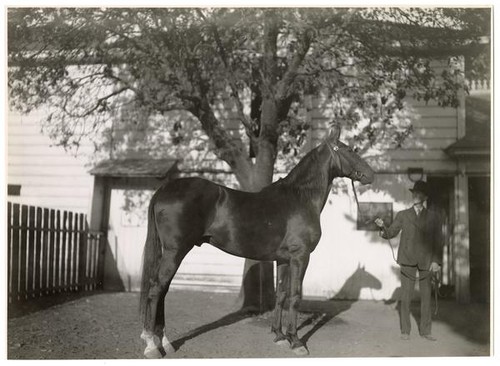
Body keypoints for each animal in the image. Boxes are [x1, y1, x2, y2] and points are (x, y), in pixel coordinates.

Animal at [139, 125, 374, 358]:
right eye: (350, 150)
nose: (371, 174)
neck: (300, 198)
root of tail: (165, 189)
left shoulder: (283, 259)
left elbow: (281, 295)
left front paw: (279, 336)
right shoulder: (300, 256)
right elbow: (295, 296)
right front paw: (296, 342)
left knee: (163, 289)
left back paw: (165, 342)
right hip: (175, 251)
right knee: (157, 289)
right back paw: (152, 346)